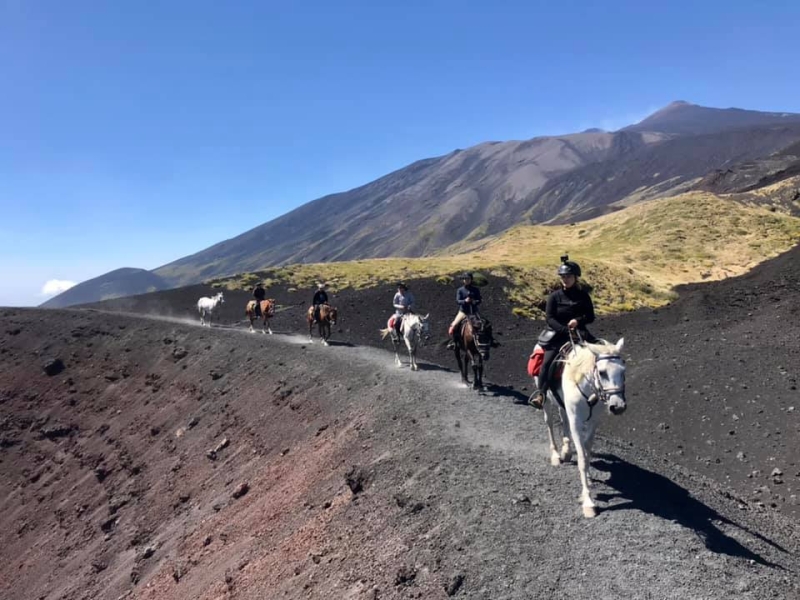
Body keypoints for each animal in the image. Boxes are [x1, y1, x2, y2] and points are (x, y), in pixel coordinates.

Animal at [540, 338, 628, 516]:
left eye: (623, 371)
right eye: (602, 372)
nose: (618, 406)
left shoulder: (593, 422)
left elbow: (587, 452)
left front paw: (588, 477)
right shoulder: (576, 421)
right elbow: (581, 458)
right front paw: (588, 501)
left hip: (563, 405)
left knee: (563, 419)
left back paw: (566, 451)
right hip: (546, 401)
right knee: (550, 423)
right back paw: (556, 455)